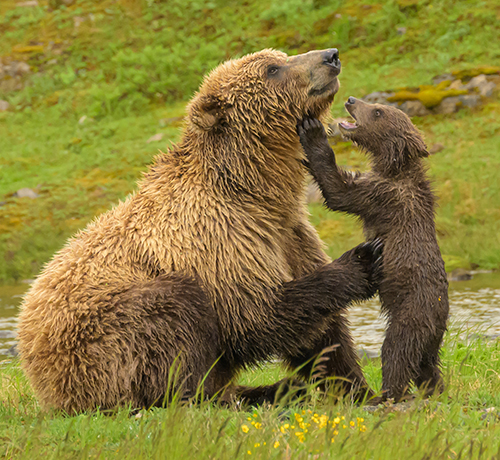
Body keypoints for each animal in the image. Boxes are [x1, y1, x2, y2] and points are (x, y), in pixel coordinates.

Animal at [17, 48, 380, 412]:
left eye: (282, 55)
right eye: (273, 69)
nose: (330, 56)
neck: (254, 190)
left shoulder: (288, 234)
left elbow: (324, 336)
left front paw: (356, 388)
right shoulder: (218, 238)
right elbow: (256, 313)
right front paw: (360, 262)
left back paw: (272, 390)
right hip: (99, 338)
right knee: (173, 320)